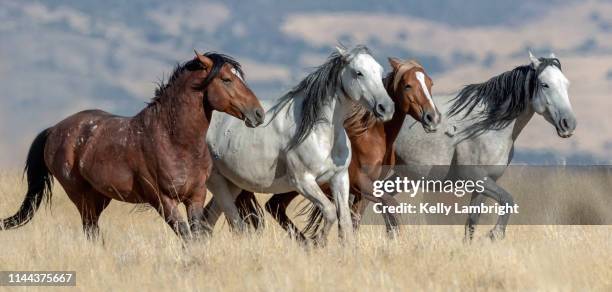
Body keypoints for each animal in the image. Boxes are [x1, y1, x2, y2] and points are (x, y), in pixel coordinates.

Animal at [2, 50, 266, 242]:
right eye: (226, 79)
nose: (258, 113)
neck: (173, 141)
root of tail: (54, 129)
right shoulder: (162, 200)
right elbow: (186, 236)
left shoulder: (195, 196)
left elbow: (197, 235)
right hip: (80, 195)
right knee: (90, 230)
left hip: (100, 197)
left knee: (93, 230)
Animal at [209, 56, 440, 240]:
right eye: (407, 85)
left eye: (430, 83)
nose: (433, 117)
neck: (370, 136)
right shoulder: (362, 184)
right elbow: (389, 205)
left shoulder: (363, 188)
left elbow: (356, 219)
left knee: (269, 207)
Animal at [394, 52, 576, 240]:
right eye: (545, 84)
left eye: (566, 84)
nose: (568, 124)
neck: (487, 126)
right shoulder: (474, 177)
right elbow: (507, 199)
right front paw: (495, 233)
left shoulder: (486, 181)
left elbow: (472, 222)